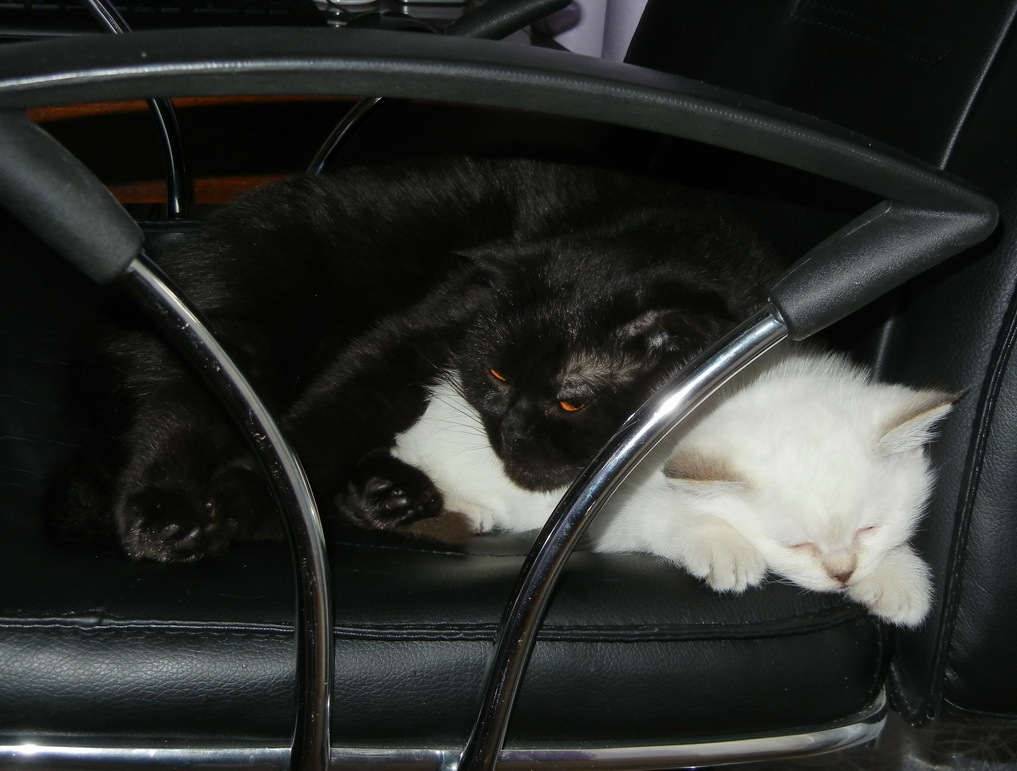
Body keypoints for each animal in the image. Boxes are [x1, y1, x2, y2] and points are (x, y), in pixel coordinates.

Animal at [50, 156, 784, 563]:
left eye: (569, 400)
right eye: (496, 375)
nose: (511, 430)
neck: (669, 235)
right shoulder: (418, 331)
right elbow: (330, 414)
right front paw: (259, 496)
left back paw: (388, 492)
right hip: (232, 329)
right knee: (172, 414)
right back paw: (168, 516)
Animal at [390, 347, 955, 627]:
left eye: (869, 529)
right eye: (795, 544)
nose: (842, 575)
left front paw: (900, 577)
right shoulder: (612, 509)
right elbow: (675, 516)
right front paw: (727, 549)